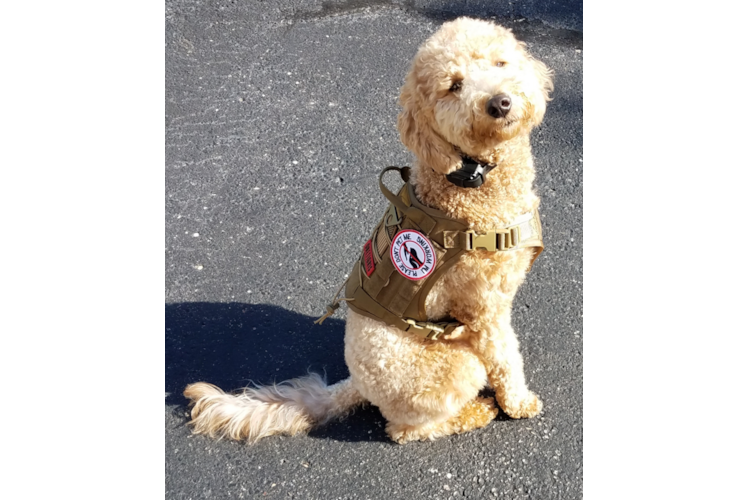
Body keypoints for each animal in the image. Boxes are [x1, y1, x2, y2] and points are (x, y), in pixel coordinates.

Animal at [184, 17, 552, 444]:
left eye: (500, 63)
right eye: (454, 86)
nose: (499, 102)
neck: (469, 179)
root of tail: (356, 383)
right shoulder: (484, 311)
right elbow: (507, 359)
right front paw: (519, 404)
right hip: (456, 364)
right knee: (405, 430)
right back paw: (477, 412)